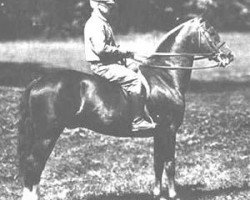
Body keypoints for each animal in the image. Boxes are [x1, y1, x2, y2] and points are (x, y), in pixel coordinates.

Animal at [19, 17, 232, 200]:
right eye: (211, 32)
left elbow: (157, 163)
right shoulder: (169, 130)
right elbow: (170, 163)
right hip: (47, 134)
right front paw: (173, 195)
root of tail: (39, 81)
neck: (165, 77)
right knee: (34, 165)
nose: (229, 56)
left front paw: (158, 194)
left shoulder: (159, 133)